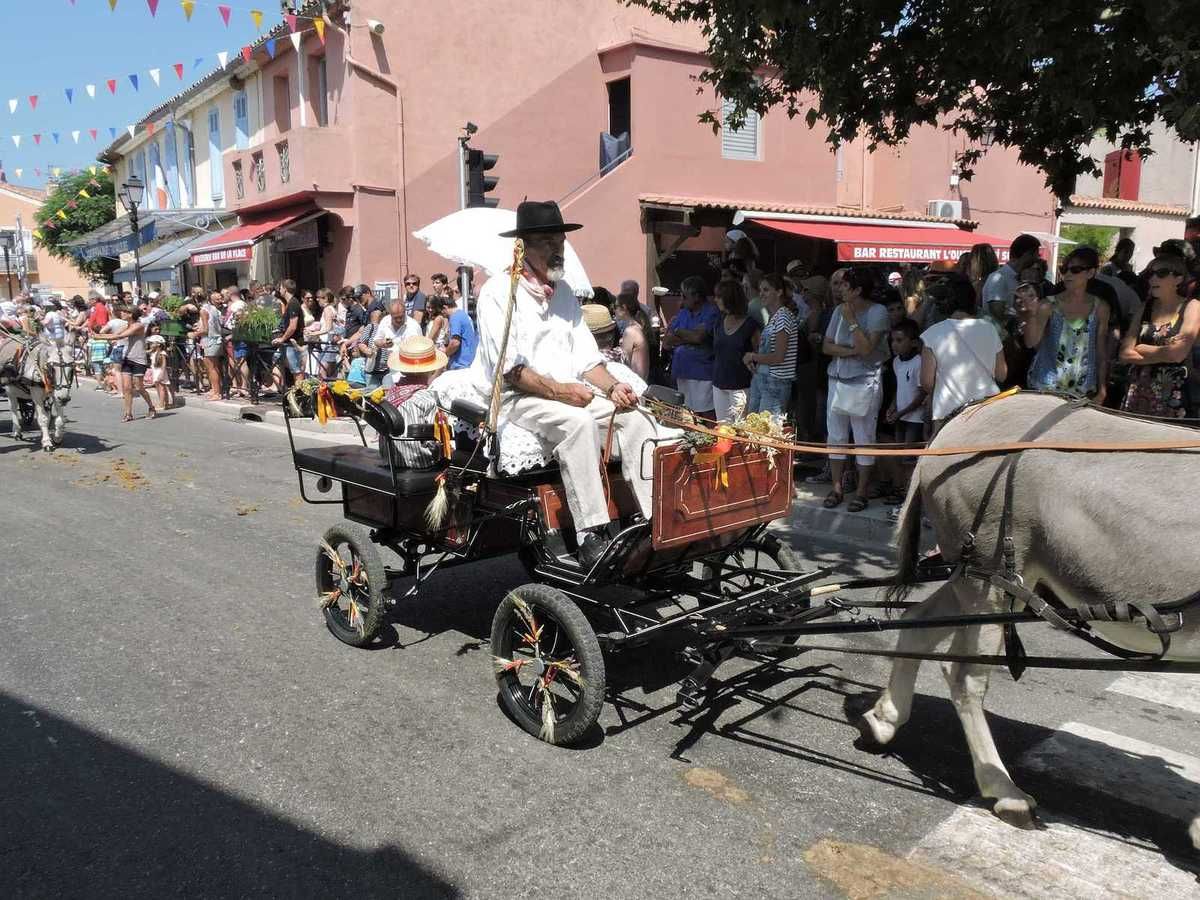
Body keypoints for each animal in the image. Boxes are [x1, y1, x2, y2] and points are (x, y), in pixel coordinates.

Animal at [860, 392, 1200, 848]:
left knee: (919, 623)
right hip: (988, 575)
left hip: (985, 578)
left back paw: (886, 719)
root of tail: (964, 419)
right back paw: (1004, 790)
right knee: (964, 676)